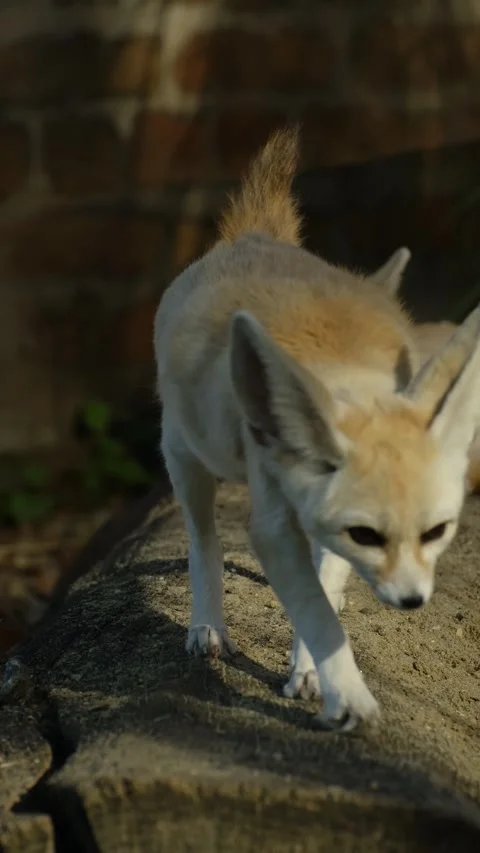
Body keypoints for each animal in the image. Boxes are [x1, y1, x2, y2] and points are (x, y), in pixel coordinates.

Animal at [154, 126, 480, 731]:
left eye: (437, 533)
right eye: (367, 534)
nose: (413, 602)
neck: (341, 365)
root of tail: (254, 236)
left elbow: (323, 588)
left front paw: (310, 670)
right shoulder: (273, 522)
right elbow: (315, 610)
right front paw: (347, 694)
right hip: (188, 459)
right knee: (204, 539)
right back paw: (208, 623)